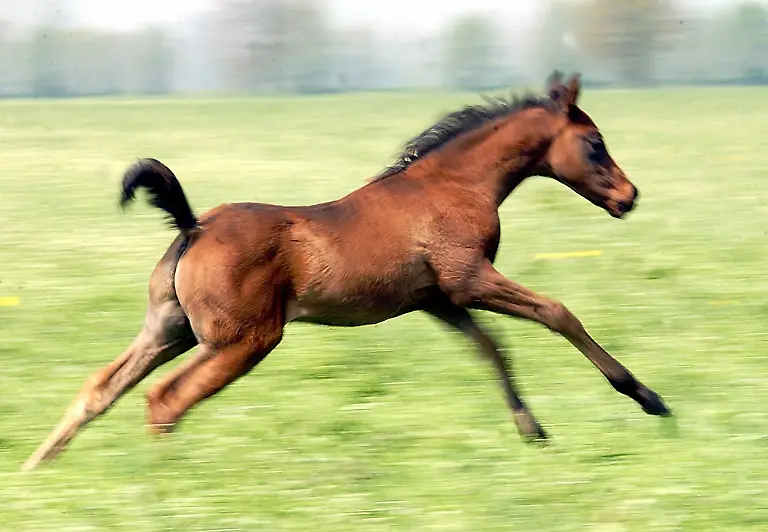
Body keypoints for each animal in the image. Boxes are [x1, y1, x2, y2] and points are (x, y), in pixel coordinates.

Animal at [22, 72, 671, 471]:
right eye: (594, 143)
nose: (630, 196)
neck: (453, 185)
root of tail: (192, 228)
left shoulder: (438, 299)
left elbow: (492, 349)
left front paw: (532, 430)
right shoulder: (469, 279)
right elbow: (558, 313)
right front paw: (647, 397)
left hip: (169, 329)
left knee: (99, 389)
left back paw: (35, 472)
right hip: (242, 340)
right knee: (164, 400)